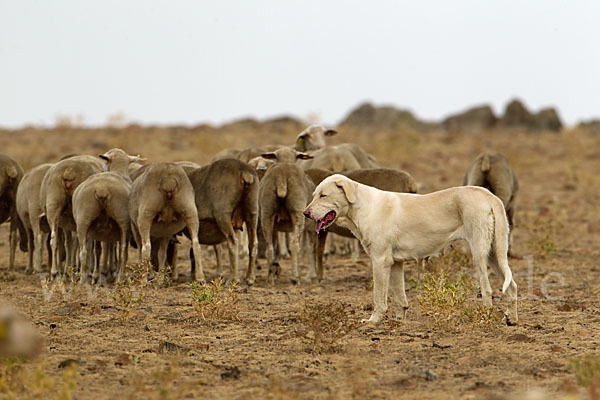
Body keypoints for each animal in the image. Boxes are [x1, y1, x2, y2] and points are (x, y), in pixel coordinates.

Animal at [72, 148, 146, 282]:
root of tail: (102, 188)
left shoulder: (96, 230)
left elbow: (98, 249)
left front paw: (97, 275)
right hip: (123, 220)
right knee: (123, 250)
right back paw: (120, 278)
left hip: (83, 219)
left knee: (83, 251)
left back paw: (83, 280)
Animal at [256, 148, 316, 284]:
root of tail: (281, 176)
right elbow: (310, 248)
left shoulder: (275, 226)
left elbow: (277, 247)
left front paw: (275, 269)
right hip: (298, 212)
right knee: (295, 246)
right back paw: (295, 278)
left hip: (267, 213)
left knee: (269, 248)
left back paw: (270, 278)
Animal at [302, 175, 516, 324]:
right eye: (313, 195)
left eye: (323, 195)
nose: (305, 213)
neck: (361, 208)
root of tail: (489, 196)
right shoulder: (396, 262)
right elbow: (399, 296)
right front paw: (399, 320)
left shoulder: (380, 261)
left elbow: (379, 296)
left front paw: (373, 321)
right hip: (494, 254)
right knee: (512, 285)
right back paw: (512, 319)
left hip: (479, 254)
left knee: (487, 289)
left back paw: (484, 318)